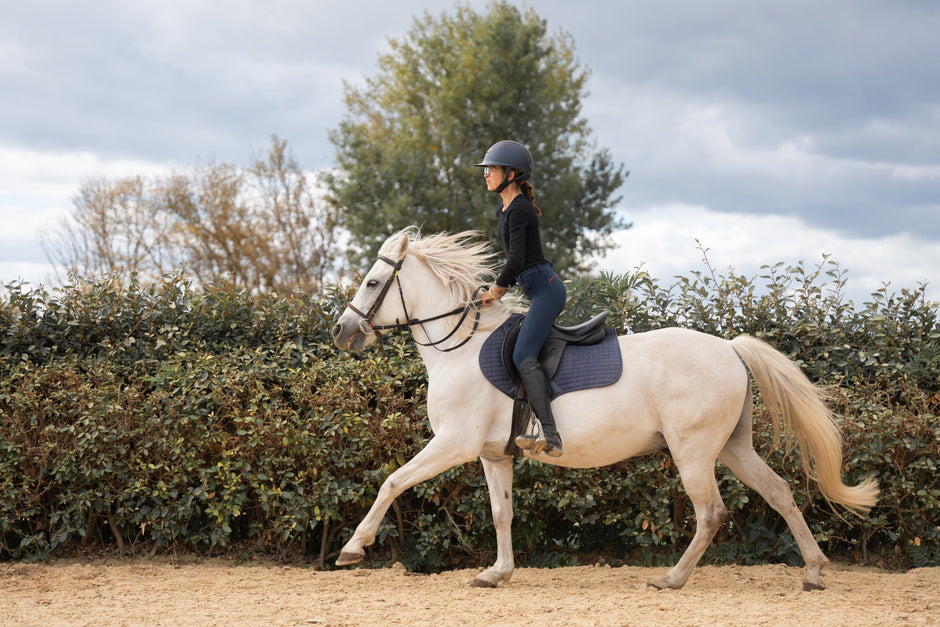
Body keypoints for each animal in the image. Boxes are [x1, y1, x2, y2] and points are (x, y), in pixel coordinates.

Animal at [332, 228, 880, 592]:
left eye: (373, 282)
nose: (341, 332)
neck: (461, 349)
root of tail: (728, 347)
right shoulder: (492, 453)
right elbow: (501, 512)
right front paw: (497, 573)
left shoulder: (453, 442)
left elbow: (392, 482)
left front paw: (353, 548)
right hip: (732, 447)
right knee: (780, 492)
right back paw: (813, 571)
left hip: (693, 450)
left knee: (711, 512)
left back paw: (671, 579)